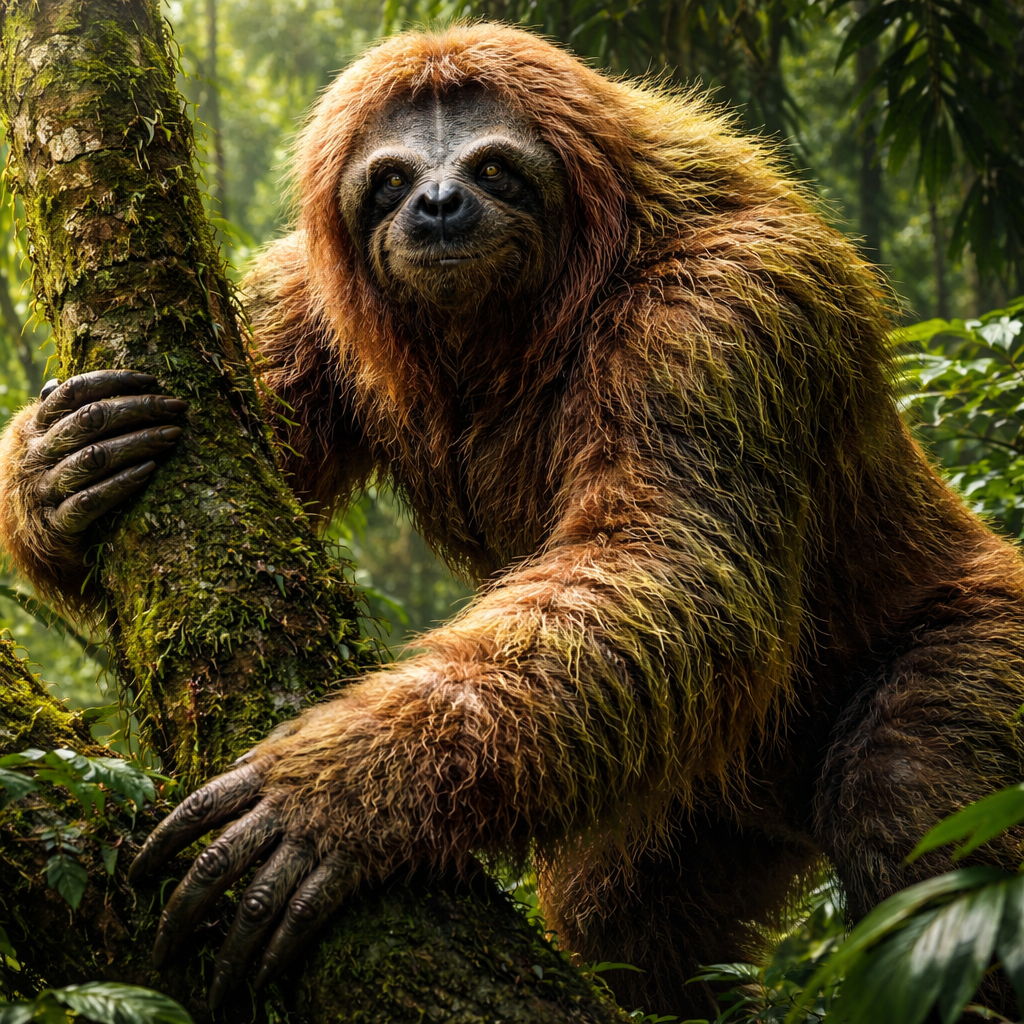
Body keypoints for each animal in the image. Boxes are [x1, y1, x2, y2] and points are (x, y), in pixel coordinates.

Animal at [2, 24, 1024, 1018]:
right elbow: (261, 426)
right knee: (625, 913)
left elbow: (670, 568)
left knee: (917, 813)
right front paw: (49, 476)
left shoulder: (725, 313)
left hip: (984, 643)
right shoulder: (304, 296)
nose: (438, 204)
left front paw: (339, 792)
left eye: (494, 168)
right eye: (390, 181)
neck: (524, 329)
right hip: (695, 803)